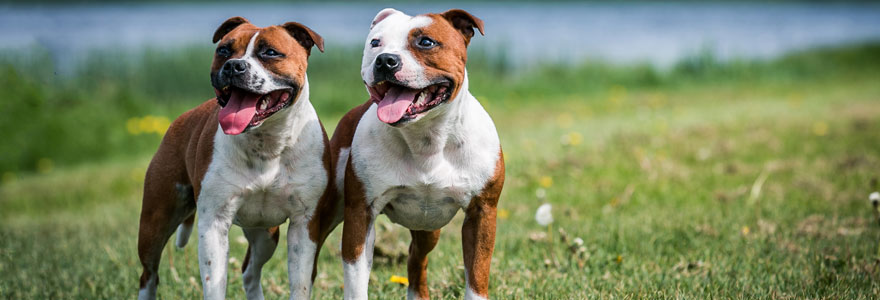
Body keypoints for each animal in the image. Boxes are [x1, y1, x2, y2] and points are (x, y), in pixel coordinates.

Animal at [138, 17, 340, 300]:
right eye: (224, 50)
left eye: (270, 52)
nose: (234, 65)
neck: (266, 142)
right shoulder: (214, 223)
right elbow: (214, 283)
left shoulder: (304, 223)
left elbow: (300, 283)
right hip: (155, 222)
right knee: (149, 274)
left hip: (265, 235)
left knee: (249, 272)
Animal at [330, 8, 506, 298]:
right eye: (375, 43)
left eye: (426, 42)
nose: (385, 60)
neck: (426, 138)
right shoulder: (360, 213)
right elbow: (356, 278)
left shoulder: (482, 213)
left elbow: (477, 275)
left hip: (428, 227)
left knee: (416, 256)